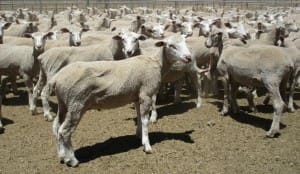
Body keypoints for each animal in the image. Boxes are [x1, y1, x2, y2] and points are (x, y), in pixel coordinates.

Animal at [48, 34, 192, 167]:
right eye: (171, 46)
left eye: (185, 42)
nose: (189, 58)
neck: (157, 63)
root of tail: (56, 78)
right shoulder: (146, 94)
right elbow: (145, 121)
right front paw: (147, 146)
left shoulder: (137, 96)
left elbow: (139, 117)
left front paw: (139, 136)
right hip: (76, 103)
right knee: (65, 131)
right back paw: (72, 160)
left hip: (64, 103)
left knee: (56, 127)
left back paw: (62, 155)